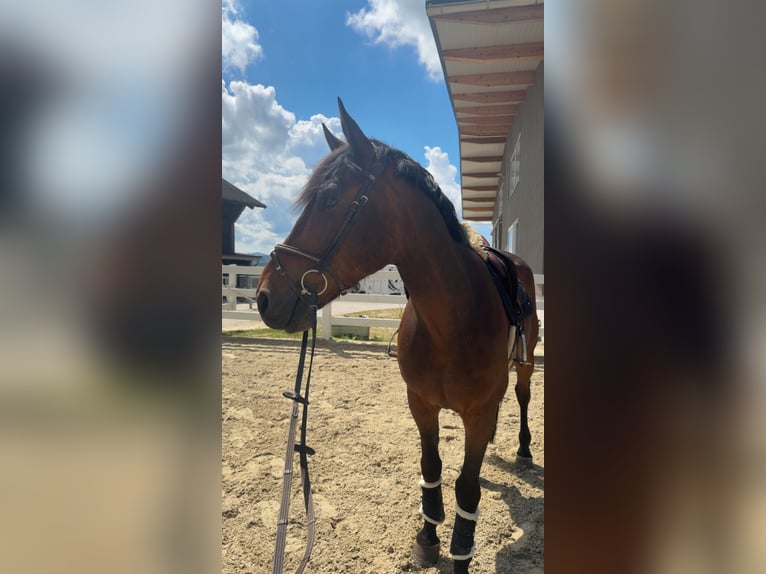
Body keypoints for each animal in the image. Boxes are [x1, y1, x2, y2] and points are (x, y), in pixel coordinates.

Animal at [256, 99, 538, 573]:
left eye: (329, 198)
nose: (263, 296)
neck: (452, 320)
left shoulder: (478, 412)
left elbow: (467, 487)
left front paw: (460, 553)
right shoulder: (420, 403)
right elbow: (432, 466)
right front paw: (428, 536)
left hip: (526, 363)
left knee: (521, 396)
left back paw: (523, 449)